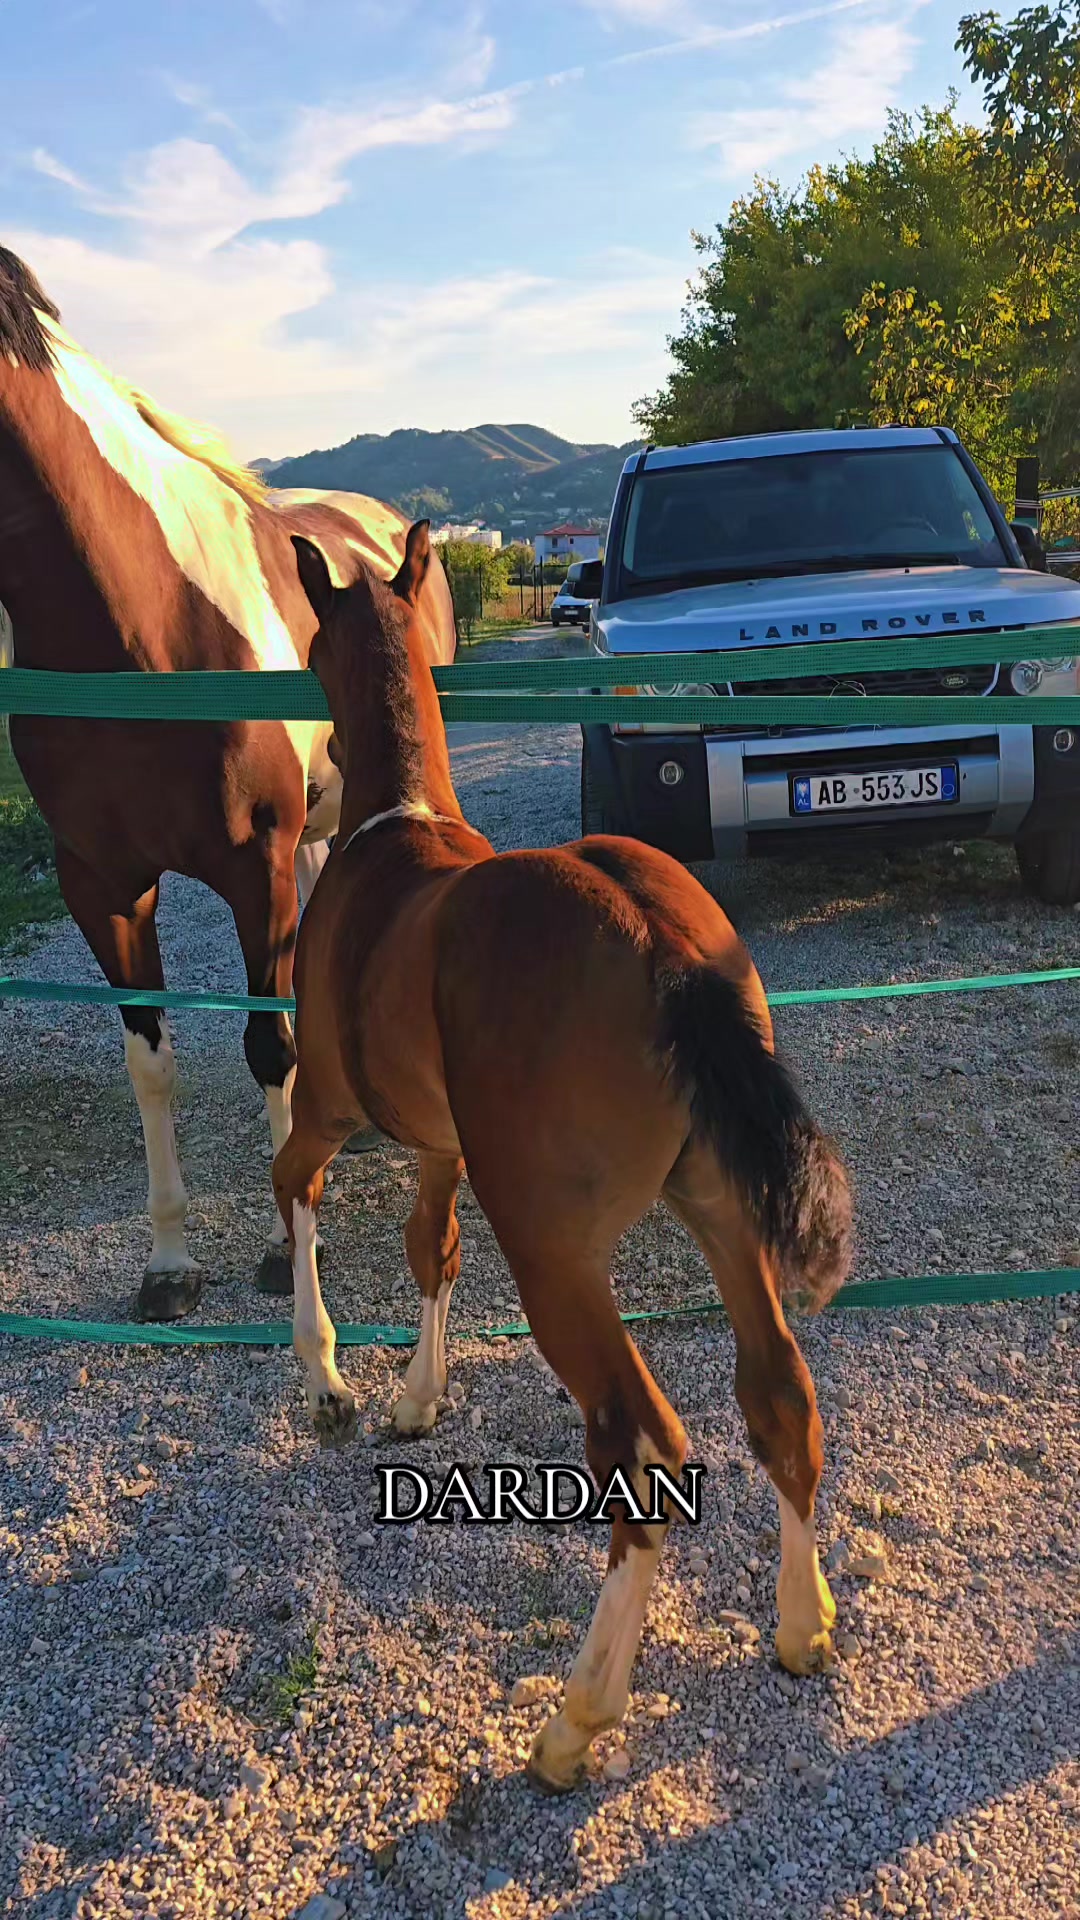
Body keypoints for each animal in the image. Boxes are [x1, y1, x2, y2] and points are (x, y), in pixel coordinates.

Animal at [0, 247, 457, 1320]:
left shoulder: (257, 866)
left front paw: (291, 1249)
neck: (138, 619)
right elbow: (147, 1061)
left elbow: (267, 1046)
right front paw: (170, 1263)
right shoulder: (102, 883)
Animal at [272, 519, 854, 1793]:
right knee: (779, 1398)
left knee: (643, 1449)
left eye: (310, 644)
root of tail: (665, 945)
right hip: (721, 1214)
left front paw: (329, 1378)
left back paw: (577, 1719)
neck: (395, 836)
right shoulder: (442, 1146)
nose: (310, 786)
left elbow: (297, 1191)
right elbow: (430, 1249)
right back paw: (801, 1626)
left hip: (559, 1259)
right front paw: (417, 1396)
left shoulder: (330, 1110)